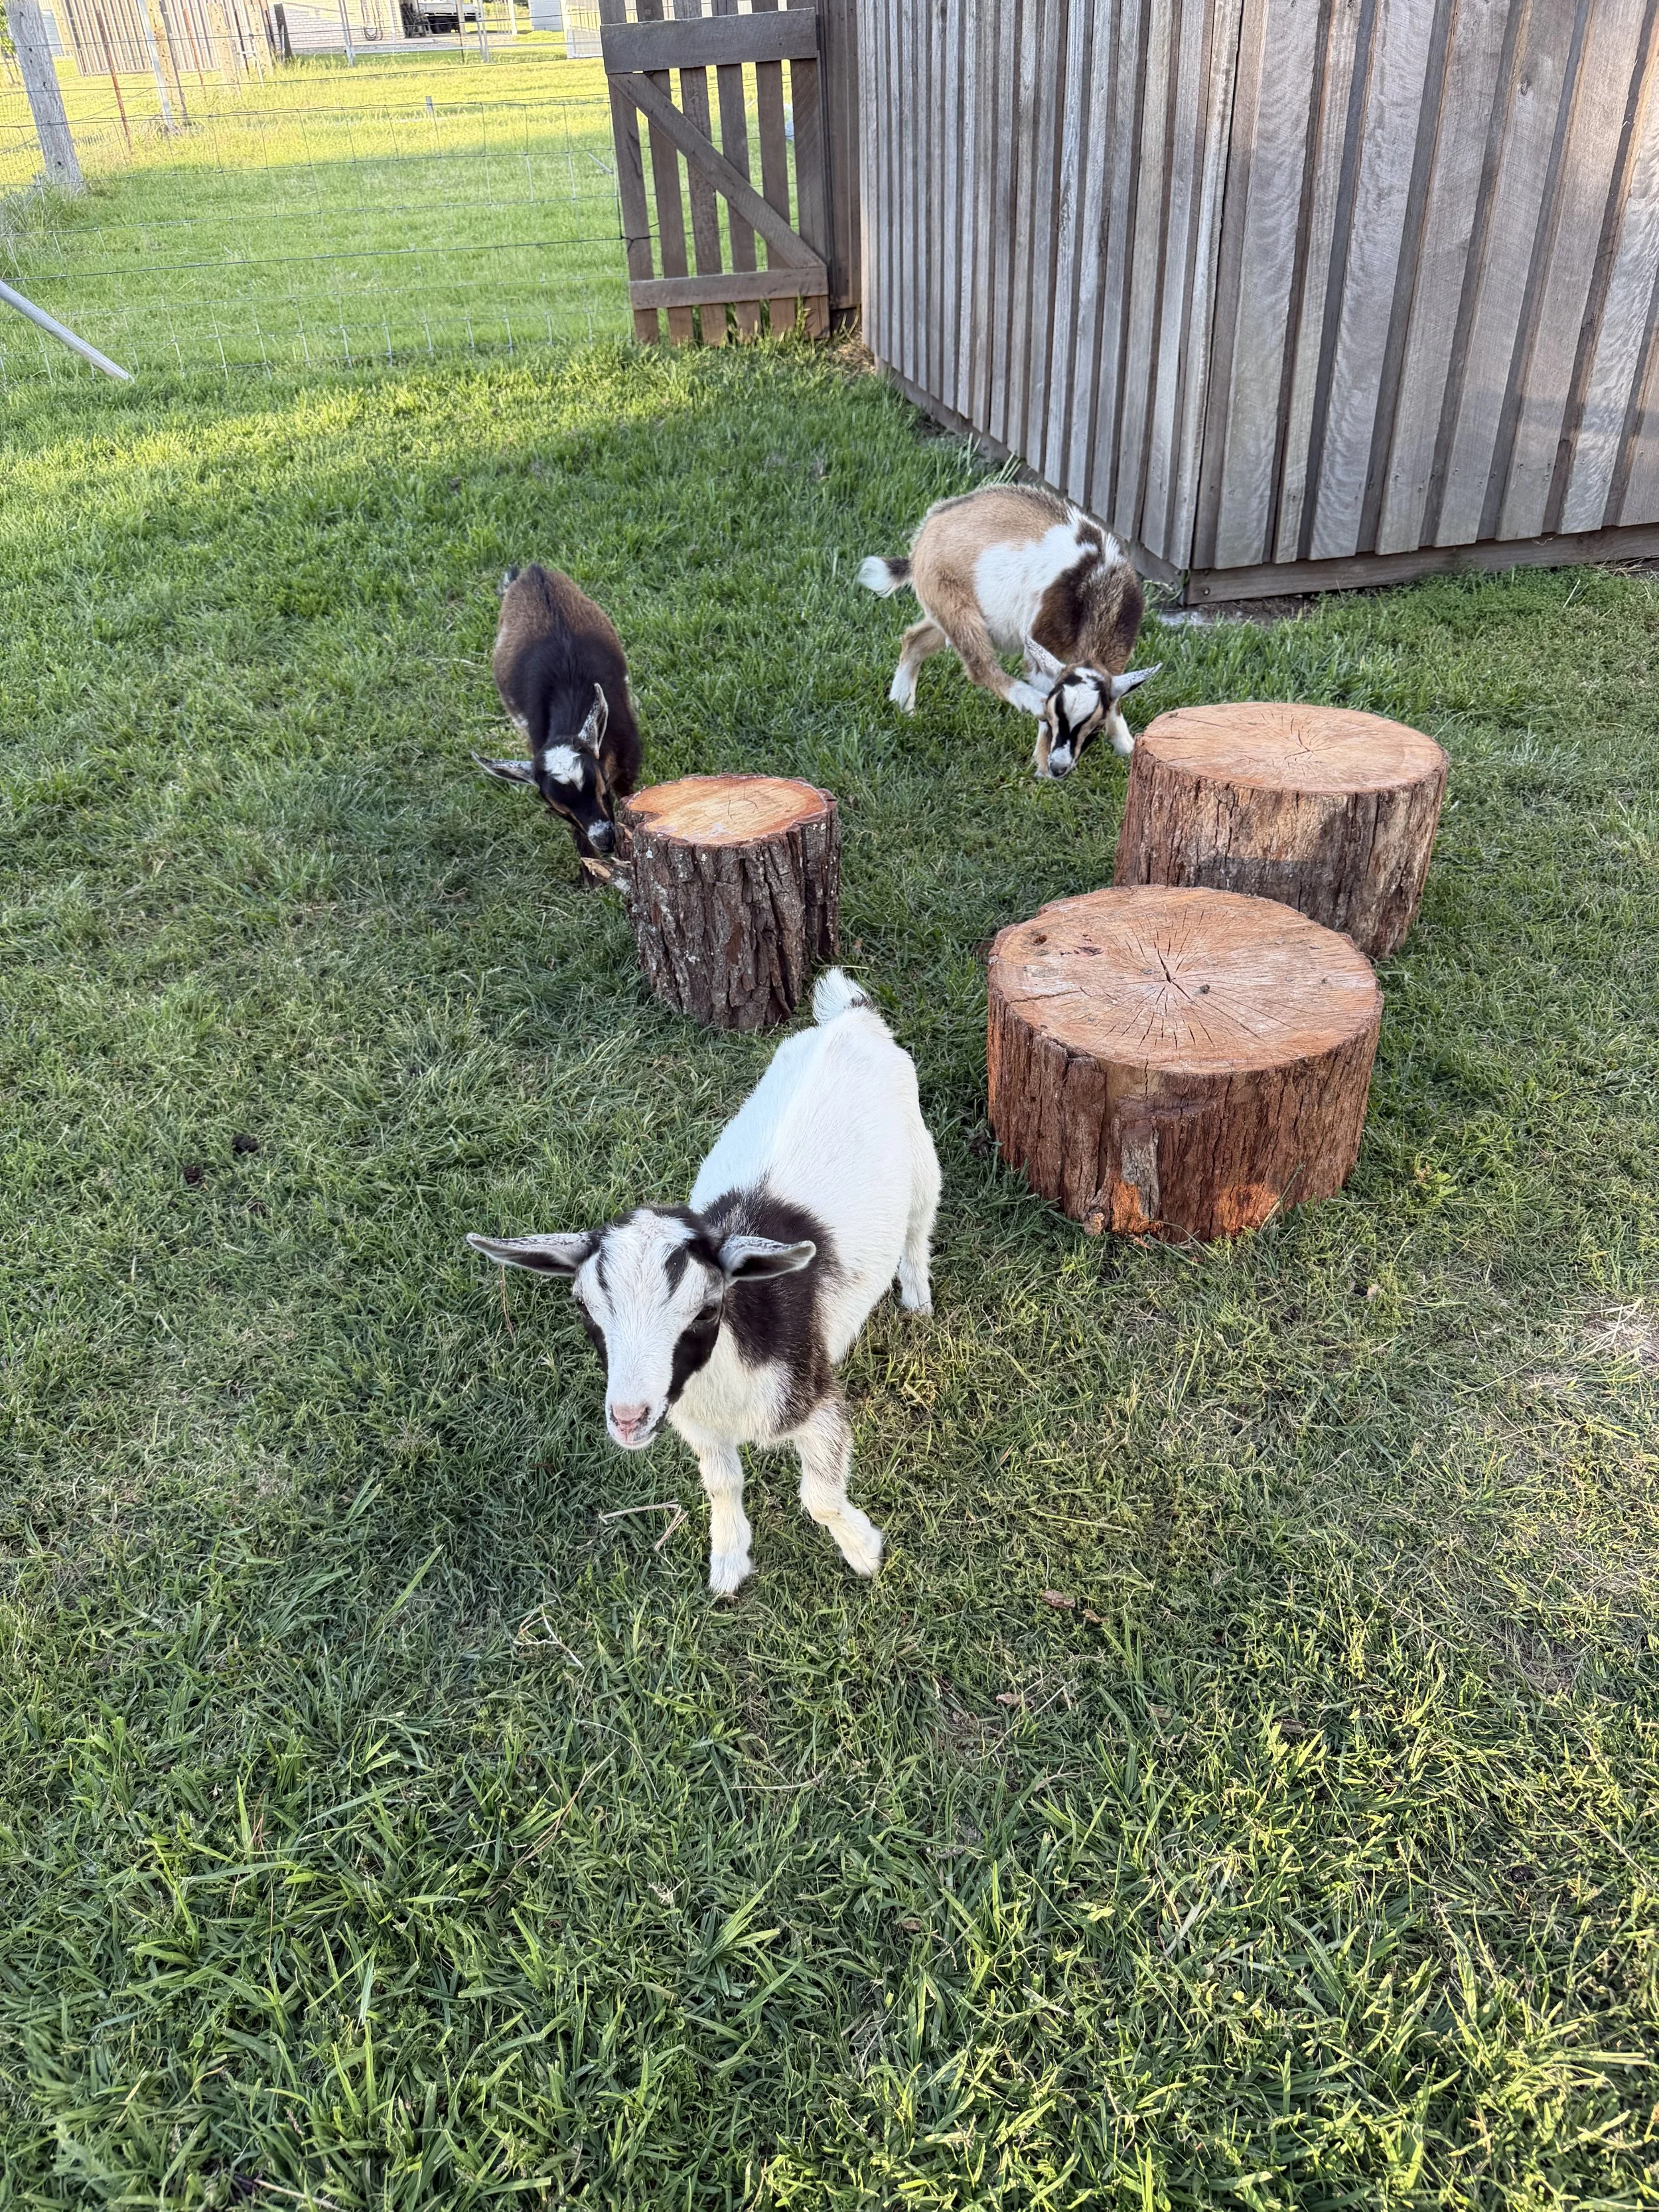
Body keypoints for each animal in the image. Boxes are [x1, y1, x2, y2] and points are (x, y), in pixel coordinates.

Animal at [468, 970, 941, 1597]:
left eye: (706, 1309)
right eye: (585, 1308)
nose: (628, 1418)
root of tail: (852, 1018)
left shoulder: (816, 1402)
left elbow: (818, 1495)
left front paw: (864, 1551)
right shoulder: (694, 1422)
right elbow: (722, 1483)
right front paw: (728, 1564)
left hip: (922, 1154)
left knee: (919, 1223)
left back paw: (917, 1298)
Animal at [473, 564, 643, 866]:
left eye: (601, 786)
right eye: (558, 809)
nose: (605, 840)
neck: (571, 691)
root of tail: (531, 571)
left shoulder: (627, 761)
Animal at [858, 484, 1160, 778]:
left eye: (1096, 726)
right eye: (1054, 716)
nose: (1058, 768)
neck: (1101, 584)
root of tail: (925, 533)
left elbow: (1116, 697)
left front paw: (1127, 746)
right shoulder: (1042, 641)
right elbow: (1042, 685)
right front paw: (1041, 765)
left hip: (942, 609)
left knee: (914, 640)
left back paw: (902, 704)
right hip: (955, 605)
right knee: (980, 667)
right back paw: (1029, 700)